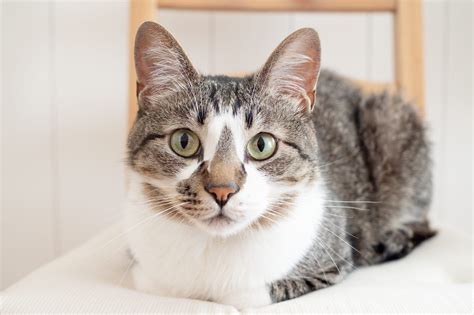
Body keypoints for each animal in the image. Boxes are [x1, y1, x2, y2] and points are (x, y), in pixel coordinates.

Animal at [124, 21, 436, 308]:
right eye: (184, 141)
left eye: (262, 145)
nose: (223, 190)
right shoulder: (143, 271)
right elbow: (151, 282)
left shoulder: (333, 261)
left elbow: (250, 294)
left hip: (392, 118)